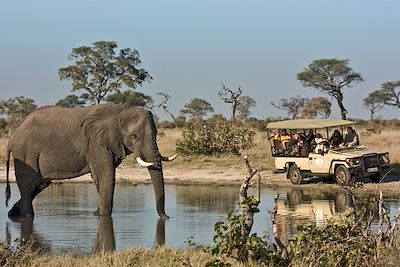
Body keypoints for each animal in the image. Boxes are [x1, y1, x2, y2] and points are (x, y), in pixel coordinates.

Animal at [5, 104, 175, 220]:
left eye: (157, 133)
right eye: (134, 136)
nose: (166, 217)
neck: (121, 110)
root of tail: (12, 135)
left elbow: (99, 178)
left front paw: (96, 214)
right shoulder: (96, 143)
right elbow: (106, 177)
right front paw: (103, 216)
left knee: (40, 184)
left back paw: (13, 213)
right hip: (25, 153)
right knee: (30, 185)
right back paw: (26, 217)